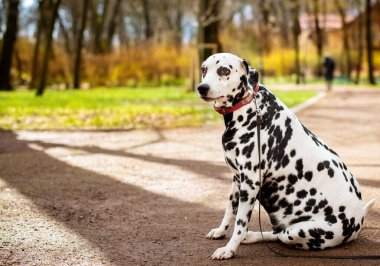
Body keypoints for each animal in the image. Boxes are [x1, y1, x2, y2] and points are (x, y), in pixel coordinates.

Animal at [197, 52, 376, 260]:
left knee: (280, 235)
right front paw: (220, 231)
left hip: (298, 231)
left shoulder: (250, 183)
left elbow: (240, 224)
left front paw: (229, 249)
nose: (201, 88)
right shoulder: (237, 179)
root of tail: (359, 221)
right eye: (203, 69)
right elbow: (229, 211)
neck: (250, 110)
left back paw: (251, 237)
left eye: (224, 70)